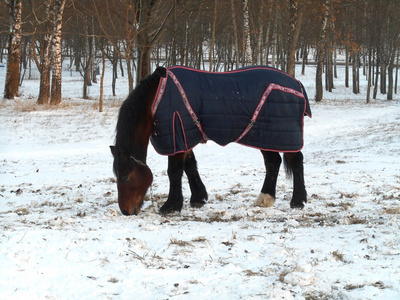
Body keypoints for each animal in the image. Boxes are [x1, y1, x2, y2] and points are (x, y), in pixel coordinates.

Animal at [110, 65, 312, 216]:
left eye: (125, 176)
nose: (126, 211)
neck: (156, 100)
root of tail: (296, 83)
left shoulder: (177, 136)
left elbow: (174, 171)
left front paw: (171, 206)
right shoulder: (186, 137)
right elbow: (190, 166)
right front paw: (198, 198)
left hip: (281, 135)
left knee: (295, 162)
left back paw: (297, 201)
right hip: (265, 136)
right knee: (273, 163)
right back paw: (265, 199)